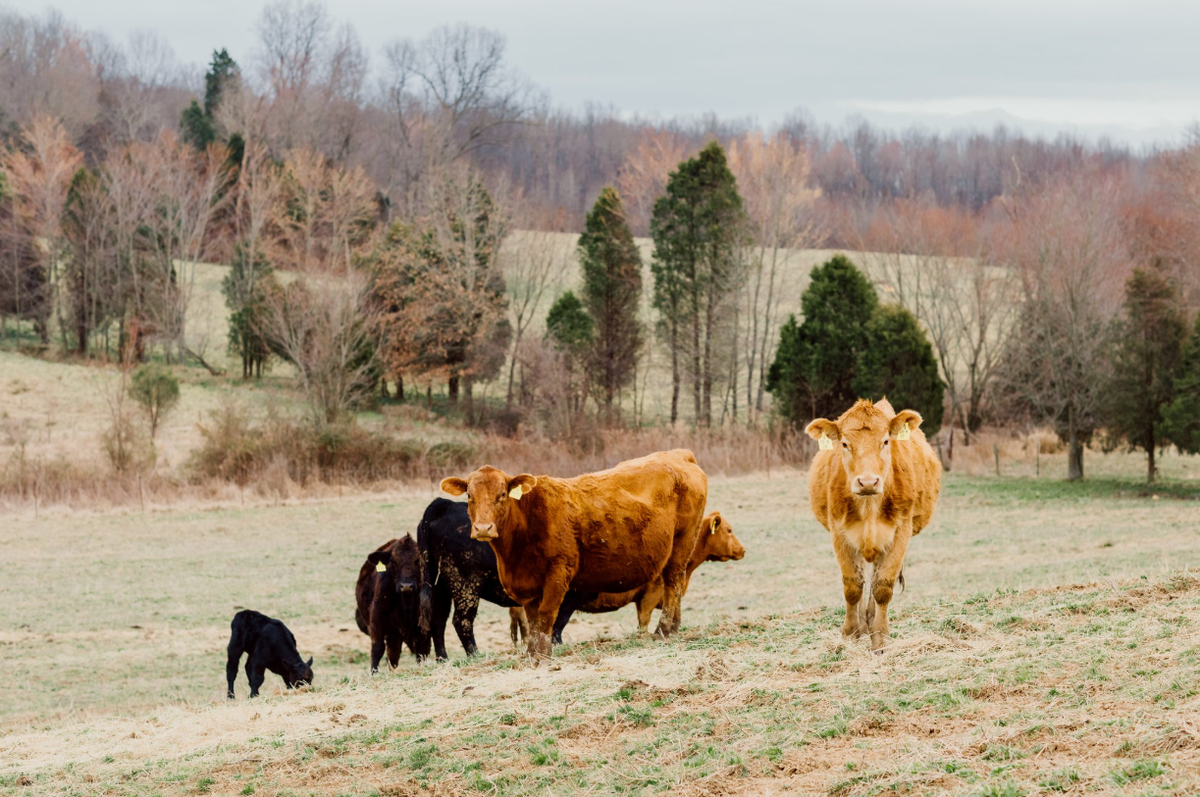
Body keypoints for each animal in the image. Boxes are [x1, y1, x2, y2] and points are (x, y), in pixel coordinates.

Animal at [354, 534, 431, 671]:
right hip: (393, 634)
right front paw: (374, 672)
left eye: (417, 561)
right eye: (394, 562)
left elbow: (421, 651)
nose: (406, 586)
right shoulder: (377, 623)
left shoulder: (422, 627)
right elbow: (377, 649)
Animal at [415, 497, 529, 660]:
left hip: (438, 585)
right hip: (466, 587)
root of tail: (448, 505)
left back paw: (443, 659)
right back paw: (475, 655)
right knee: (462, 621)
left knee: (438, 620)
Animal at [440, 449, 708, 660]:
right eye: (469, 496)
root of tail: (677, 454)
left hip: (682, 542)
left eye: (502, 494)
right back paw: (675, 626)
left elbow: (546, 615)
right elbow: (532, 619)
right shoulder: (527, 584)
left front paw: (542, 655)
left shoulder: (559, 571)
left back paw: (664, 630)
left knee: (673, 583)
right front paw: (531, 654)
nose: (483, 528)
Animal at [805, 398, 941, 651]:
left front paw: (880, 638)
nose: (868, 481)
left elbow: (883, 587)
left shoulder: (901, 533)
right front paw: (850, 634)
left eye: (886, 441)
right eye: (845, 444)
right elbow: (852, 587)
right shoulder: (839, 534)